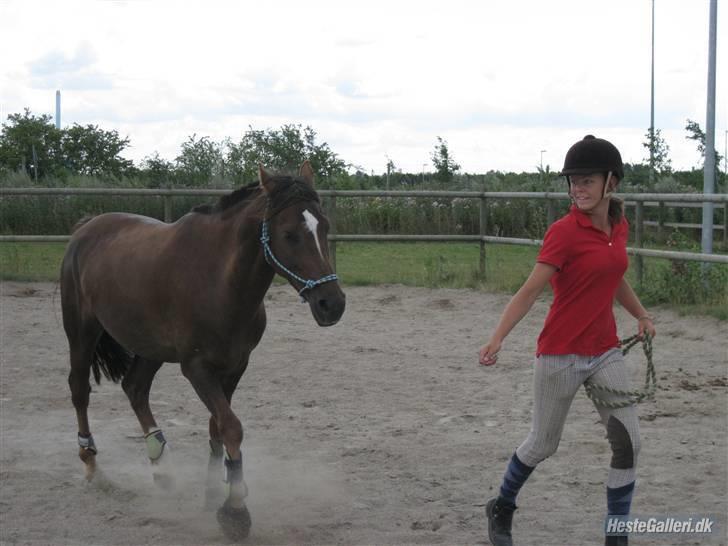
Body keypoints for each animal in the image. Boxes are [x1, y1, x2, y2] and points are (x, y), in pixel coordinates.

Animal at [59, 160, 344, 536]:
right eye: (288, 233)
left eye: (324, 226)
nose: (332, 304)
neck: (220, 282)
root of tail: (86, 228)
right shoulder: (196, 368)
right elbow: (231, 426)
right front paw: (235, 510)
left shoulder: (236, 365)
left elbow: (217, 427)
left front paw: (213, 494)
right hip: (82, 331)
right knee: (79, 389)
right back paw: (92, 465)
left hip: (150, 347)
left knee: (135, 388)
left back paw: (162, 467)